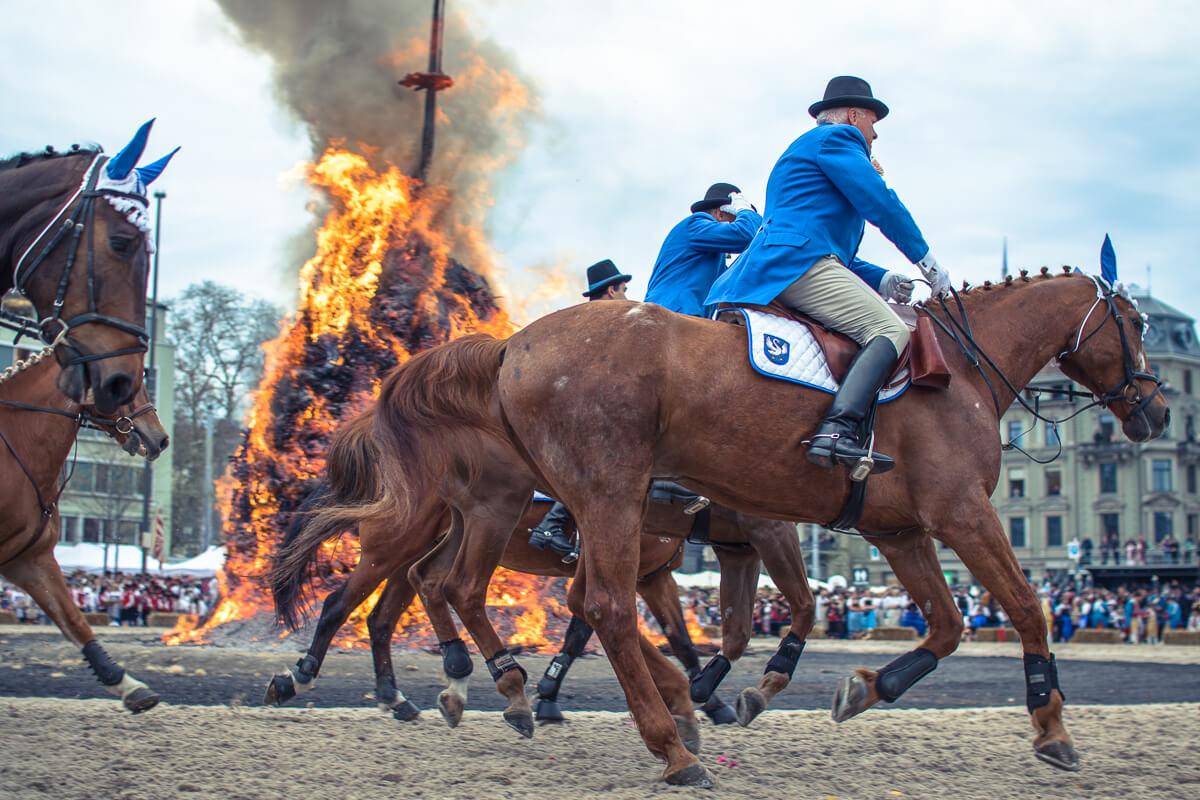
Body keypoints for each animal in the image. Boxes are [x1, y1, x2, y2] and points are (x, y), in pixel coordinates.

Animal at [369, 272, 1166, 786]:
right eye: (1135, 325)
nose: (1156, 411)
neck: (960, 371)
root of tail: (512, 346)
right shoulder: (956, 513)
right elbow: (1025, 609)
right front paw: (1051, 726)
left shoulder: (899, 532)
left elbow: (942, 625)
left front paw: (866, 686)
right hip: (593, 498)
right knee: (584, 606)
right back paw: (666, 746)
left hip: (576, 511)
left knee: (477, 590)